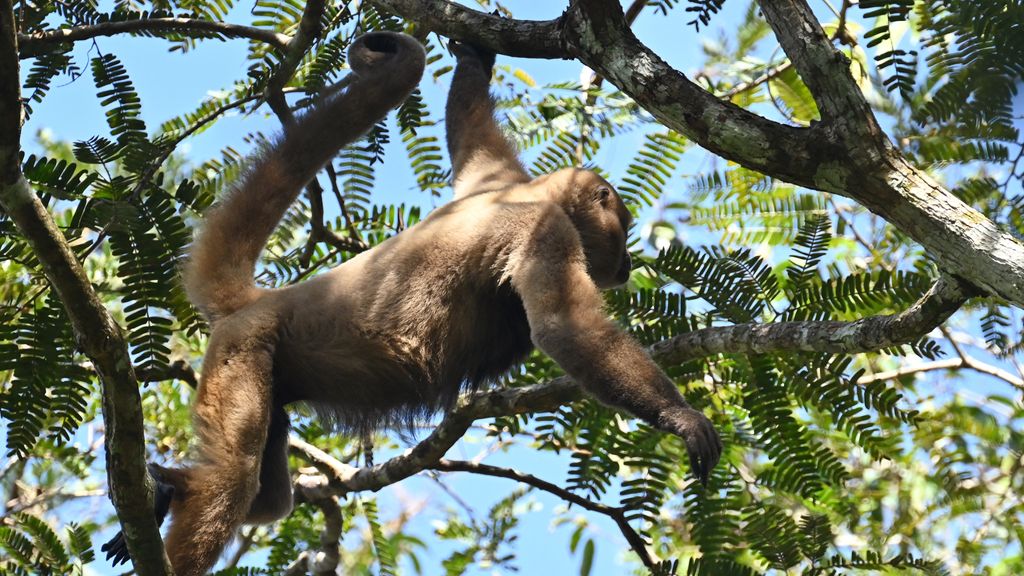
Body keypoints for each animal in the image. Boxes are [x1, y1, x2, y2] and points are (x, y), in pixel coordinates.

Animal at [102, 33, 721, 575]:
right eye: (623, 226)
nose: (630, 261)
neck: (527, 193)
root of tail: (263, 300)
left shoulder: (492, 175)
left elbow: (470, 131)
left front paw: (474, 57)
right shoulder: (544, 227)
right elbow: (563, 328)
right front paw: (683, 418)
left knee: (268, 494)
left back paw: (167, 488)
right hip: (243, 350)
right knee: (234, 478)